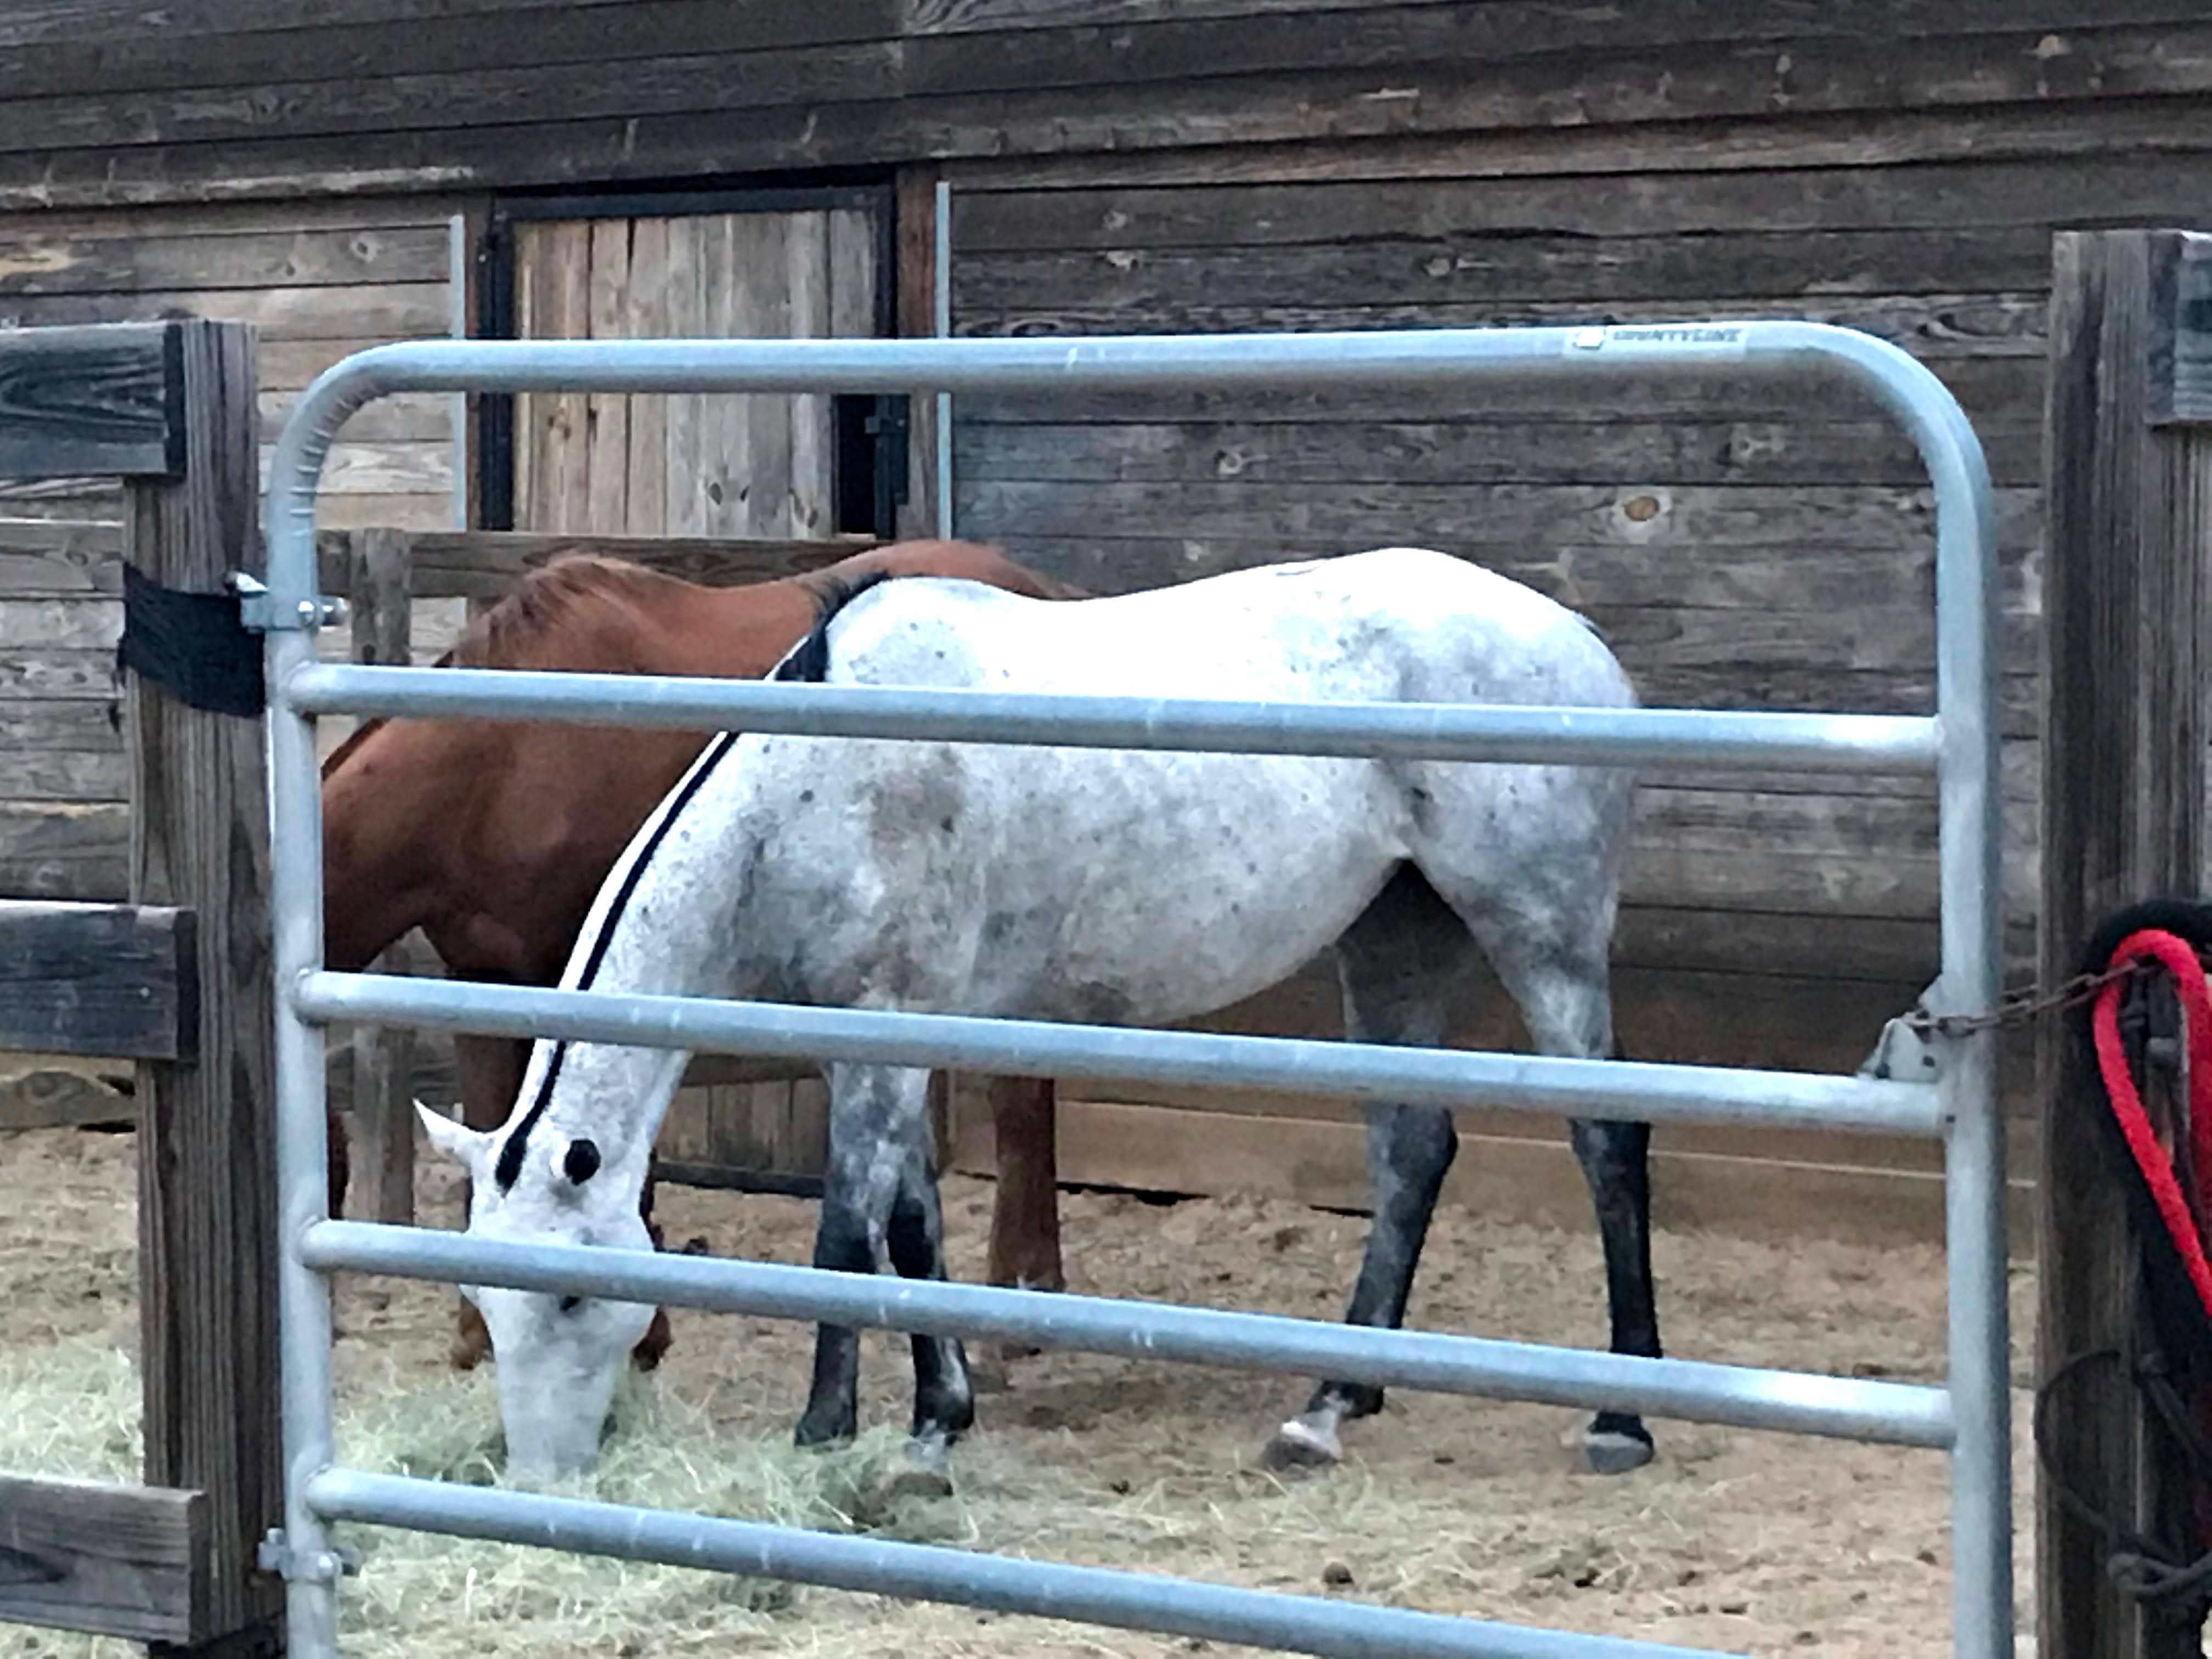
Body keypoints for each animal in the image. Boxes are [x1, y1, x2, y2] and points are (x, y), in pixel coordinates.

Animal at [417, 544, 1660, 1485]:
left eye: (575, 1295)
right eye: (485, 1297)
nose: (542, 1477)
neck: (813, 781)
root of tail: (1579, 642)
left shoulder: (881, 1028)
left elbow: (843, 1230)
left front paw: (827, 1430)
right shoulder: (871, 1040)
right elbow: (910, 1224)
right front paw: (938, 1416)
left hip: (1540, 932)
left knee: (1606, 1138)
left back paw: (1622, 1415)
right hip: (1396, 936)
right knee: (1411, 1149)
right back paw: (1328, 1404)